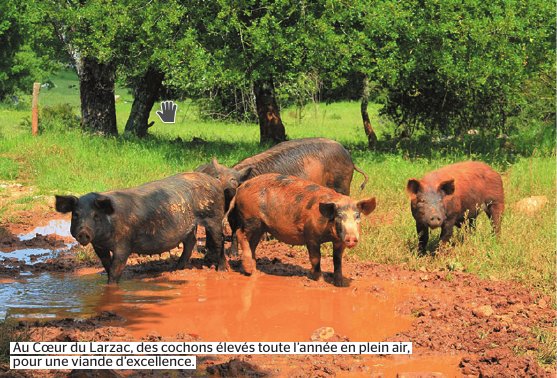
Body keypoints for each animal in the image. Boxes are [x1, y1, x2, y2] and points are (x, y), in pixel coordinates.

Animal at [53, 172, 225, 284]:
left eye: (96, 215)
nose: (83, 232)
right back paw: (176, 270)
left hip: (214, 216)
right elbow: (107, 265)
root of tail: (216, 182)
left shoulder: (123, 245)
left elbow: (115, 270)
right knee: (190, 242)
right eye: (76, 214)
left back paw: (222, 270)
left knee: (219, 239)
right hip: (189, 226)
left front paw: (111, 286)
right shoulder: (99, 246)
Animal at [227, 174, 378, 286]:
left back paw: (255, 271)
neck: (329, 234)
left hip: (260, 225)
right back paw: (249, 272)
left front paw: (340, 284)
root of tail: (240, 188)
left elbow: (337, 260)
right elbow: (316, 257)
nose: (351, 238)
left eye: (357, 216)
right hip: (251, 218)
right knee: (241, 234)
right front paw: (319, 281)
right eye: (339, 216)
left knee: (252, 243)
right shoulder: (311, 235)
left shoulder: (339, 241)